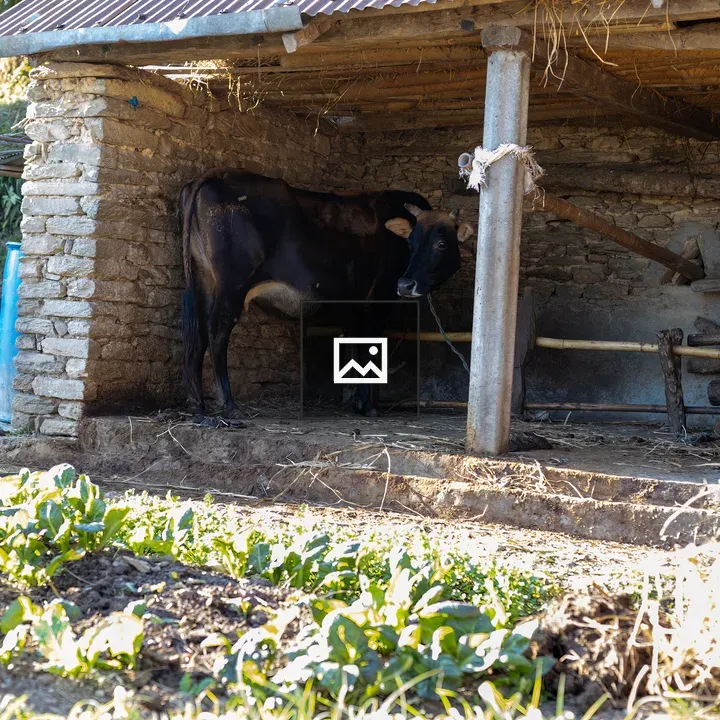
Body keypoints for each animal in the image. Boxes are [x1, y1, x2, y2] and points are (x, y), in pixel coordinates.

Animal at [180, 170, 473, 418]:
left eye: (441, 243)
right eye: (410, 243)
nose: (405, 284)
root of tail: (217, 174)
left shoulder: (357, 307)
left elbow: (358, 349)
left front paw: (359, 402)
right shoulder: (376, 303)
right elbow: (371, 348)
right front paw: (369, 407)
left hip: (203, 279)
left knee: (197, 332)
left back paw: (197, 404)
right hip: (232, 285)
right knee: (217, 330)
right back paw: (228, 405)